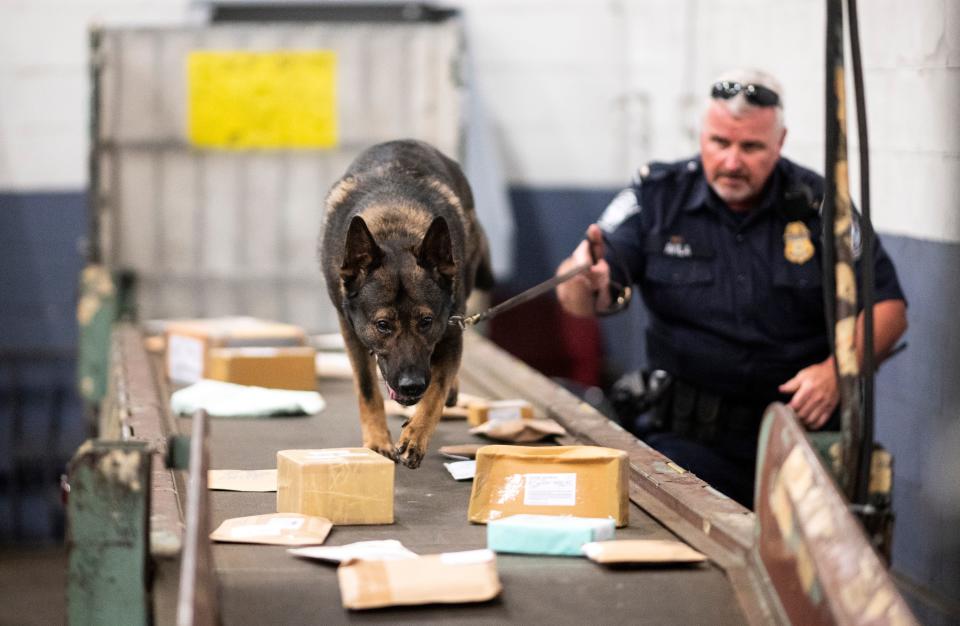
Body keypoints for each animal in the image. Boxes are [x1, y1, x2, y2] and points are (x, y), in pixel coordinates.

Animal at [322, 139, 492, 466]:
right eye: (382, 325)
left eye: (426, 322)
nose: (411, 385)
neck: (395, 229)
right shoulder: (350, 331)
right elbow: (367, 388)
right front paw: (377, 442)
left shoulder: (452, 328)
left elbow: (436, 391)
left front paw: (416, 435)